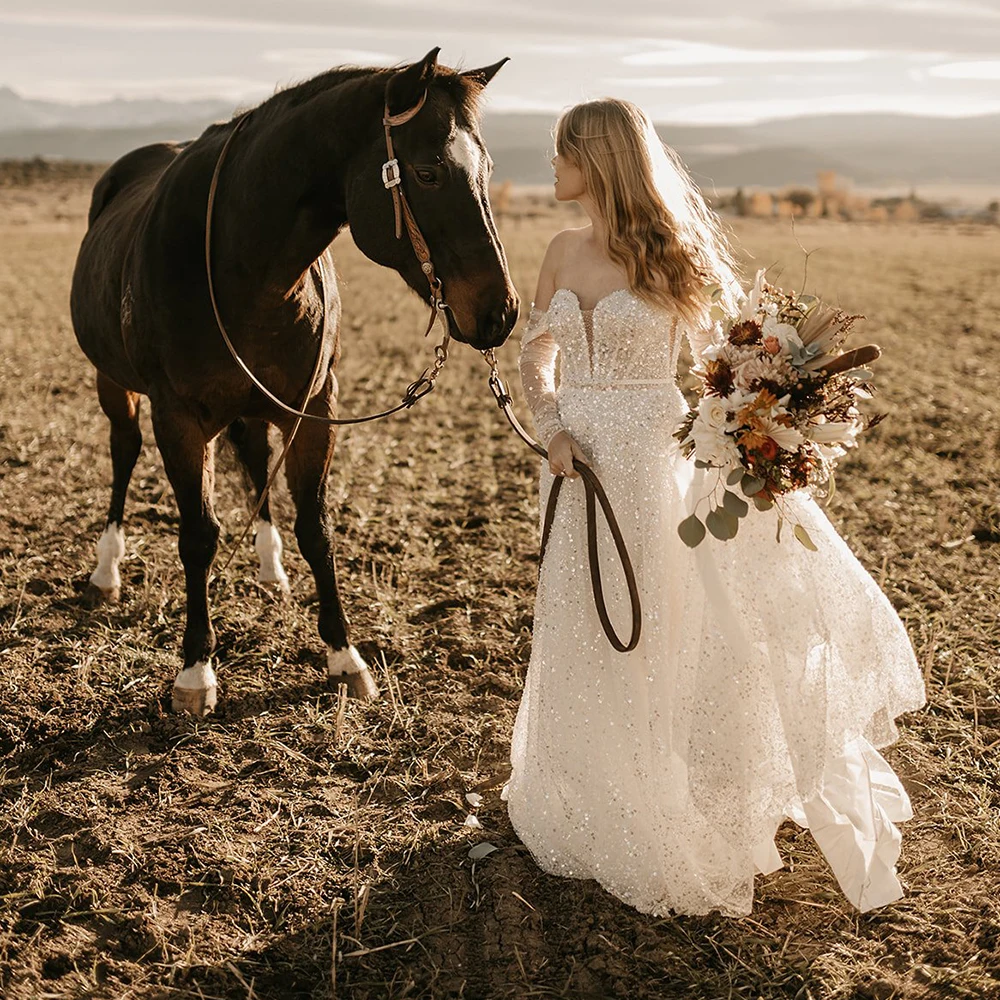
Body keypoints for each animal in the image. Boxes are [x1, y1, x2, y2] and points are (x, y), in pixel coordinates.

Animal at [67, 47, 520, 716]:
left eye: (487, 168)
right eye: (429, 172)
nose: (501, 311)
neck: (243, 265)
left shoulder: (314, 410)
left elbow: (316, 529)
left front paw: (344, 657)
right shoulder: (178, 419)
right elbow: (198, 536)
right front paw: (196, 671)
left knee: (256, 459)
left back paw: (269, 568)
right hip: (114, 385)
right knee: (124, 453)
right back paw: (107, 571)